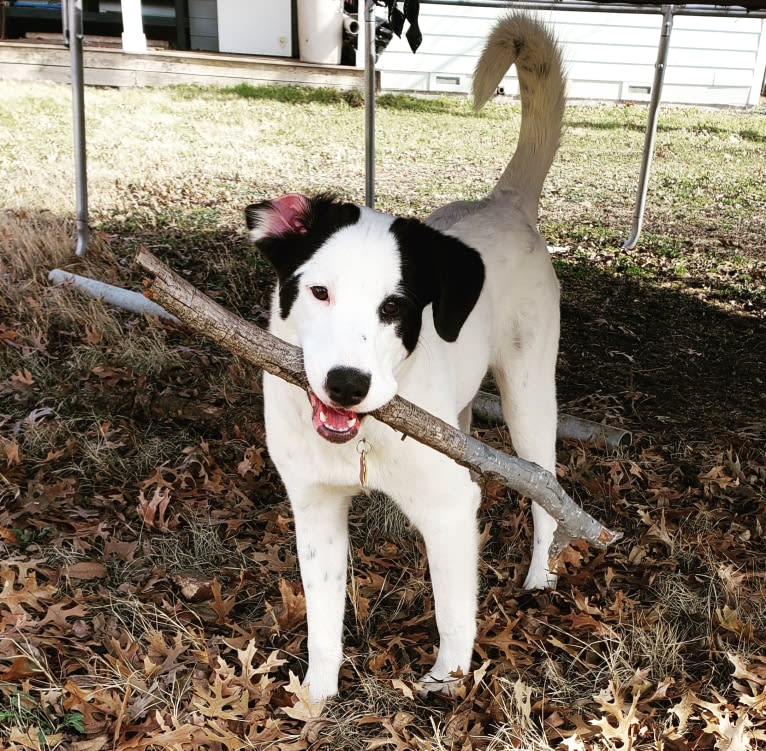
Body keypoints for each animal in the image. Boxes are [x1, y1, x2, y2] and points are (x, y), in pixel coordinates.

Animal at [248, 13, 568, 704]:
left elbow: (454, 611)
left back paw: (538, 576)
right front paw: (316, 696)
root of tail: (506, 203)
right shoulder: (314, 507)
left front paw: (447, 682)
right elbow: (322, 619)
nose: (346, 385)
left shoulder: (448, 509)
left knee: (545, 491)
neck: (363, 439)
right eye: (318, 292)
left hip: (531, 397)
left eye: (395, 306)